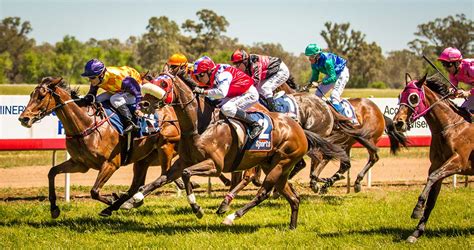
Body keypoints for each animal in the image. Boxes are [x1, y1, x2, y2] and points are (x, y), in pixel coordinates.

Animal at [18, 77, 181, 218]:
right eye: (31, 94)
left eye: (41, 96)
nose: (24, 118)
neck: (86, 125)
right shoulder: (79, 164)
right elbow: (52, 172)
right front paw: (54, 208)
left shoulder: (111, 163)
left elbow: (94, 191)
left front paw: (111, 200)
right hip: (144, 158)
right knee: (138, 184)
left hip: (165, 147)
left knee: (164, 175)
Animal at [100, 72, 346, 229]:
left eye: (165, 85)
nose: (142, 105)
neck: (199, 125)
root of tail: (300, 129)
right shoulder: (182, 162)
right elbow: (160, 179)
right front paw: (132, 200)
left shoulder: (214, 165)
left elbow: (187, 176)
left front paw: (197, 207)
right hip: (274, 166)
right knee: (293, 198)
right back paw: (292, 227)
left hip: (281, 163)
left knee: (263, 192)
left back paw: (231, 216)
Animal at [392, 73, 474, 243]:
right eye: (399, 96)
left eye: (414, 97)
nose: (398, 123)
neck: (450, 127)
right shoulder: (437, 164)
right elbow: (431, 198)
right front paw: (416, 233)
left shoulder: (458, 162)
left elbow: (432, 178)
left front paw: (417, 209)